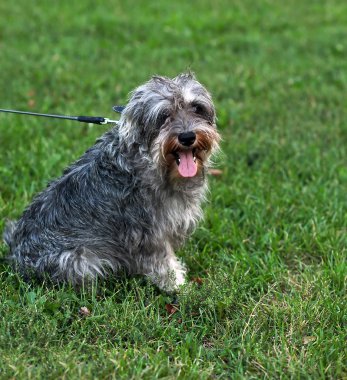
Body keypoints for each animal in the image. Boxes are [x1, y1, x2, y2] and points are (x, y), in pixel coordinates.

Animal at [3, 72, 220, 292]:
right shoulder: (148, 234)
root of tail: (14, 255)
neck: (152, 164)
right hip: (79, 260)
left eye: (197, 108)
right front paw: (178, 286)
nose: (187, 136)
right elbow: (163, 263)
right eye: (163, 116)